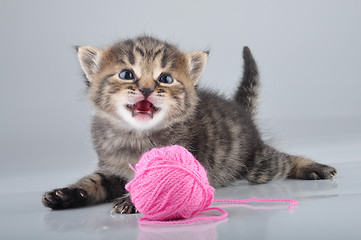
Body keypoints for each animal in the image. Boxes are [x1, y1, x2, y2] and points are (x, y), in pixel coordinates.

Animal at [43, 34, 338, 213]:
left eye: (165, 78)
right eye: (127, 74)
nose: (147, 89)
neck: (136, 137)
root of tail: (241, 112)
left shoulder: (184, 165)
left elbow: (158, 182)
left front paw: (132, 201)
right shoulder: (111, 168)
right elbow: (93, 181)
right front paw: (65, 195)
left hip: (256, 164)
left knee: (282, 160)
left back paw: (315, 168)